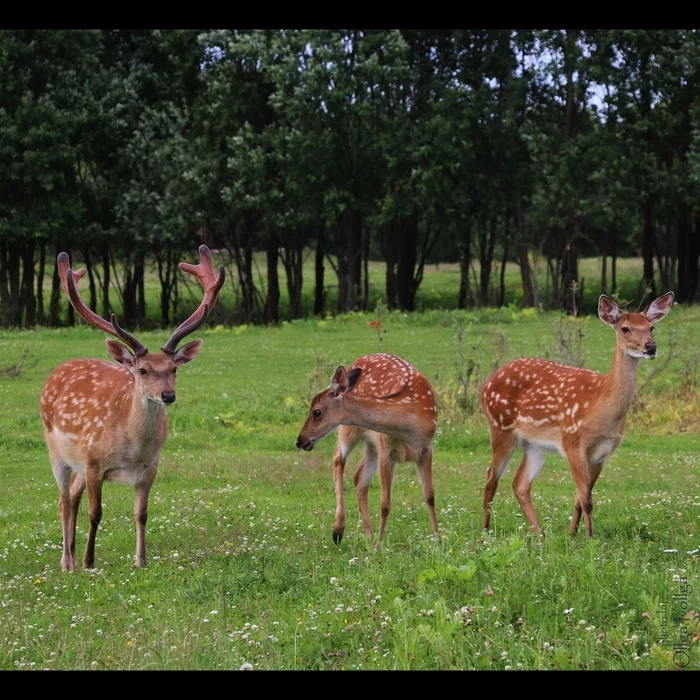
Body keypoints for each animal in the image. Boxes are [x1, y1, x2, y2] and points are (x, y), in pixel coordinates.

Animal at [40, 243, 224, 572]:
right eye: (142, 370)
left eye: (173, 369)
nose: (168, 395)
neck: (133, 449)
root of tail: (57, 371)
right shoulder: (93, 462)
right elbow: (96, 513)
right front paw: (89, 562)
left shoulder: (151, 467)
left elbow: (142, 513)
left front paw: (141, 560)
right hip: (56, 450)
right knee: (63, 499)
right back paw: (68, 562)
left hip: (76, 462)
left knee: (72, 495)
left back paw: (71, 555)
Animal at [294, 356, 438, 548]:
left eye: (316, 412)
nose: (300, 440)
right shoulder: (385, 449)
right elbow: (385, 503)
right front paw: (380, 544)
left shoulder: (426, 448)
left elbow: (430, 495)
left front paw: (439, 538)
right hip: (349, 430)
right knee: (338, 459)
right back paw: (339, 530)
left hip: (371, 444)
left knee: (359, 478)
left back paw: (369, 537)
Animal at [482, 292, 672, 540]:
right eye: (625, 329)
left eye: (652, 327)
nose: (651, 347)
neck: (602, 408)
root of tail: (486, 384)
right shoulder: (573, 443)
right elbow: (587, 500)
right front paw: (590, 538)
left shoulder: (602, 454)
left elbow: (580, 499)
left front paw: (572, 535)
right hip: (500, 426)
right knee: (490, 479)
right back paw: (485, 532)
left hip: (535, 444)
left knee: (519, 484)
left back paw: (541, 534)